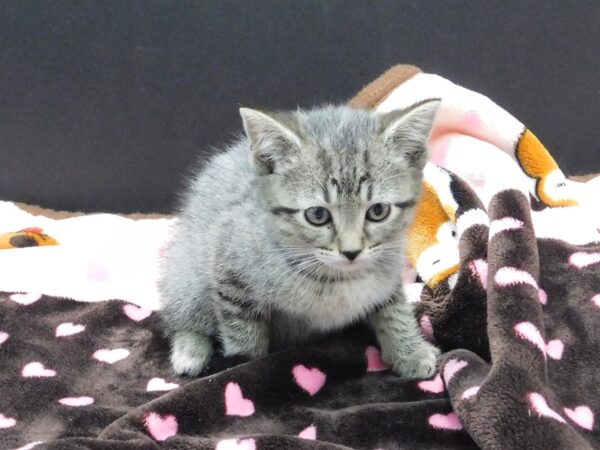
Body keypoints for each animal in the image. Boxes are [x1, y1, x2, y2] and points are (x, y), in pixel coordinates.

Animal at [158, 100, 440, 378]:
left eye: (378, 211)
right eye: (317, 215)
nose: (351, 252)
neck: (340, 278)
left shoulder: (388, 268)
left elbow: (394, 308)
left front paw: (410, 351)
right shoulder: (229, 264)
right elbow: (243, 335)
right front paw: (242, 368)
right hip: (187, 277)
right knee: (180, 318)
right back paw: (190, 352)